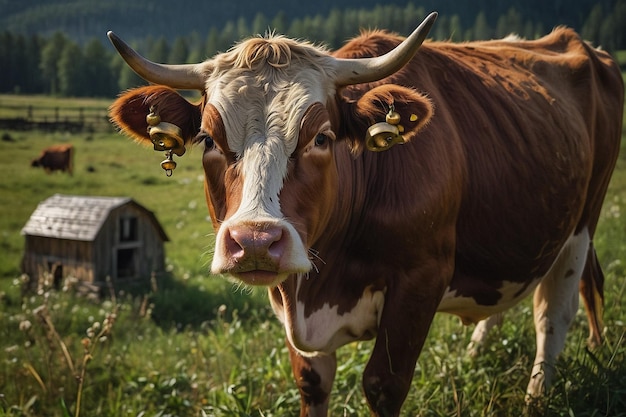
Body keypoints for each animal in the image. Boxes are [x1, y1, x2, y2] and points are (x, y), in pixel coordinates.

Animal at [106, 13, 620, 416]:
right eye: (209, 139)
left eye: (322, 137)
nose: (255, 240)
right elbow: (312, 384)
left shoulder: (422, 278)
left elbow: (383, 385)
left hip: (582, 225)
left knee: (553, 315)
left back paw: (537, 396)